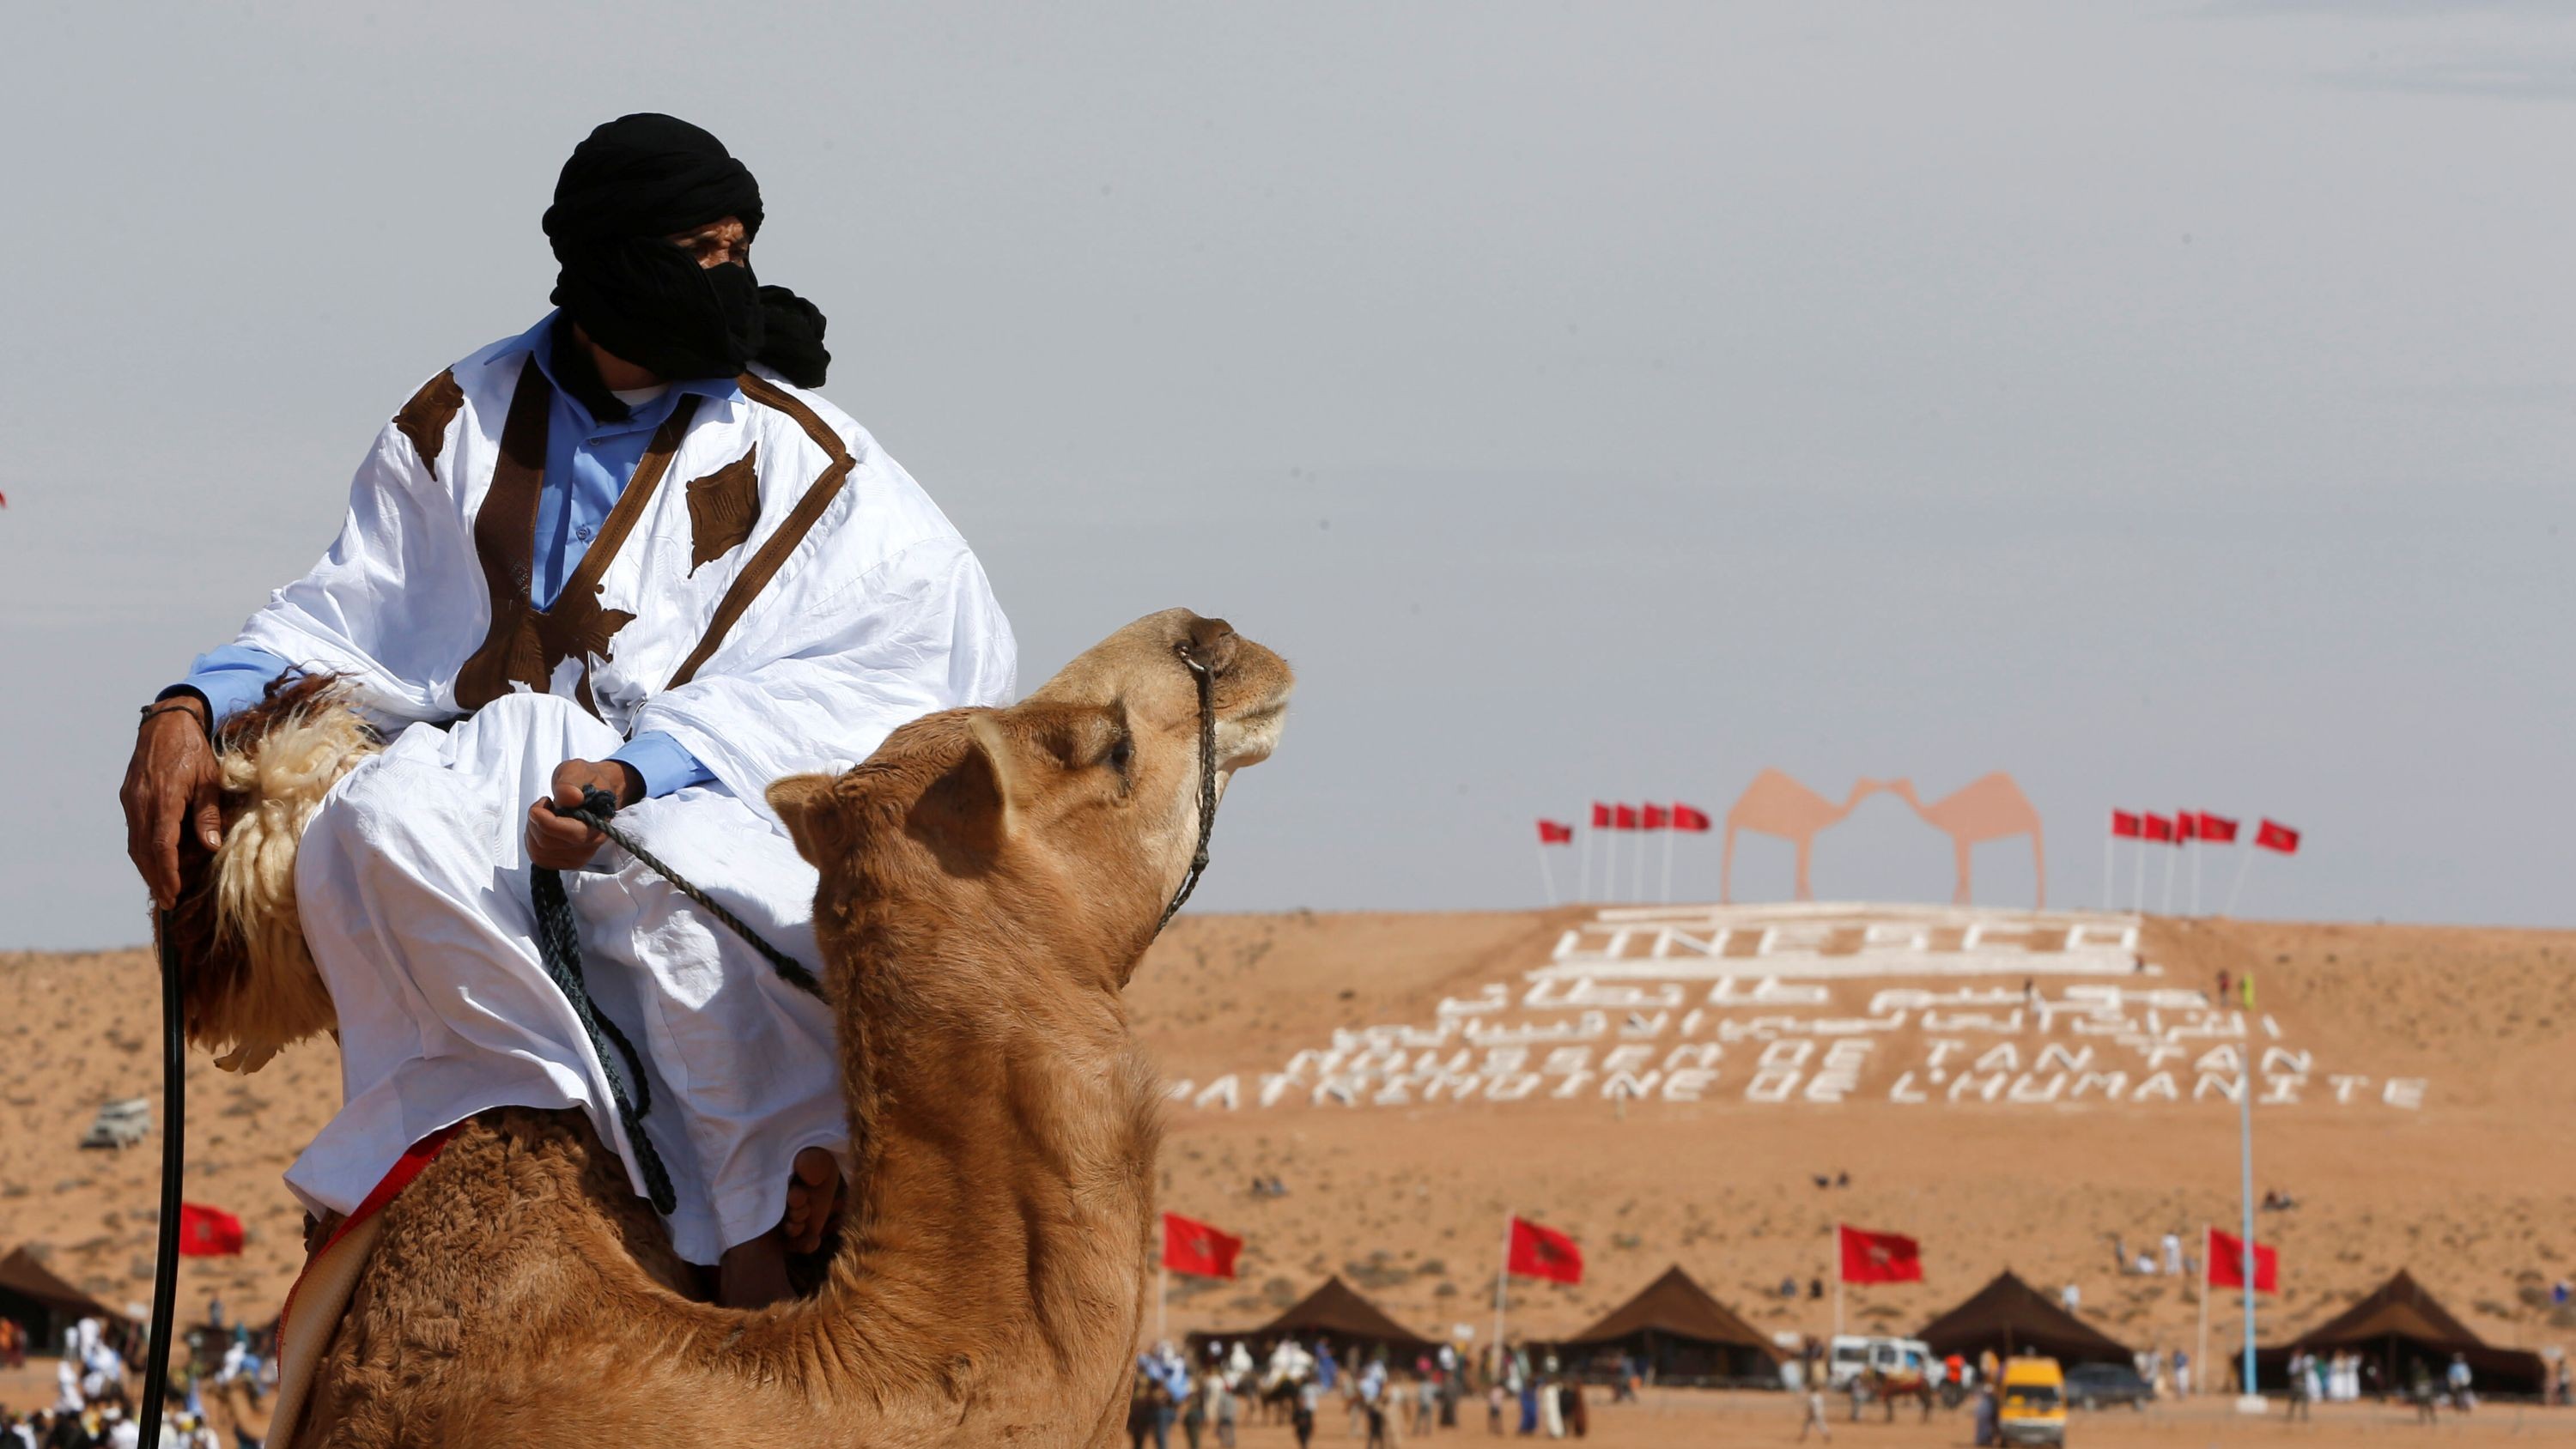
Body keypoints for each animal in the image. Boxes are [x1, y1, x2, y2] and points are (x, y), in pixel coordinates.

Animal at [1719, 769, 1878, 903]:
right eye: (1868, 782)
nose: (1879, 784)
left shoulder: (1803, 836)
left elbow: (1800, 874)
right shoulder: (1805, 834)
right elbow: (1803, 875)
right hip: (1737, 820)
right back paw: (1727, 900)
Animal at [1879, 773, 2045, 908]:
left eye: (1899, 783)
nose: (1887, 785)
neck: (1934, 812)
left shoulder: (1961, 836)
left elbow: (1963, 876)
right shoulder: (1962, 839)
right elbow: (1965, 875)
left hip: (2031, 826)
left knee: (2038, 865)